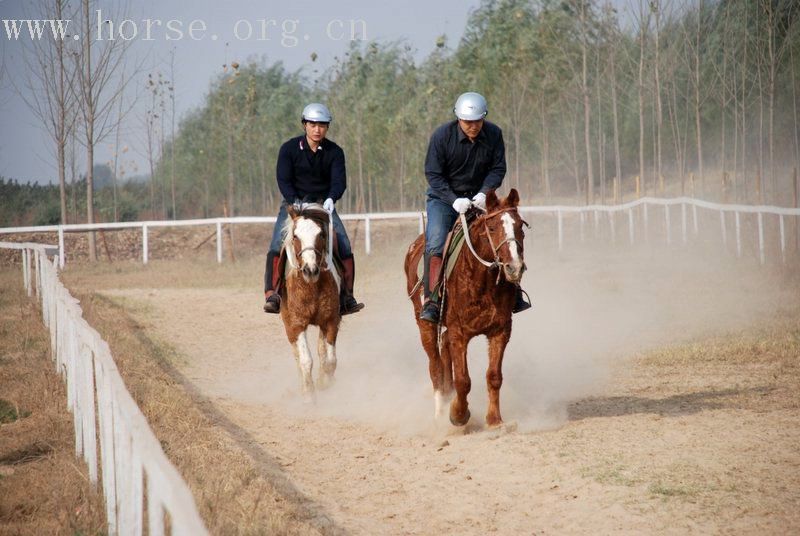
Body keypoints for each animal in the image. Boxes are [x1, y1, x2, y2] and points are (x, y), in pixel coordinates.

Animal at [278, 203, 340, 396]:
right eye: (295, 236)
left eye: (321, 234)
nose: (310, 270)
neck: (311, 287)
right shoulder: (296, 324)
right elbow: (306, 360)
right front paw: (309, 395)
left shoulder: (331, 320)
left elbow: (330, 360)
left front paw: (325, 383)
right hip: (289, 326)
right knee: (298, 356)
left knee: (322, 351)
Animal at [404, 189, 528, 428]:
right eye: (492, 228)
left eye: (520, 227)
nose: (514, 267)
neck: (482, 280)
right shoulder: (459, 333)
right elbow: (463, 380)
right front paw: (458, 415)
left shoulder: (500, 331)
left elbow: (494, 376)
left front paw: (494, 420)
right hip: (424, 324)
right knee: (435, 366)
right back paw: (440, 413)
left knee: (444, 350)